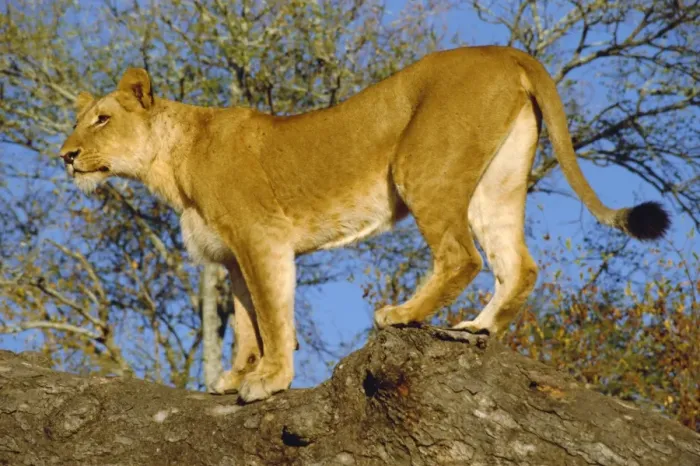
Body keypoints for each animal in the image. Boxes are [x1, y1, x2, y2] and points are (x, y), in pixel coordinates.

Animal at [59, 46, 669, 402]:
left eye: (102, 119)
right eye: (78, 121)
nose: (65, 155)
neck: (171, 164)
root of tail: (508, 50)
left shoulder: (263, 240)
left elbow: (274, 316)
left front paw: (270, 380)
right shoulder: (231, 257)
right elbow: (246, 322)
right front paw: (237, 375)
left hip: (421, 166)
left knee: (463, 256)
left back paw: (402, 315)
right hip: (496, 183)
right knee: (518, 264)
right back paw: (476, 329)